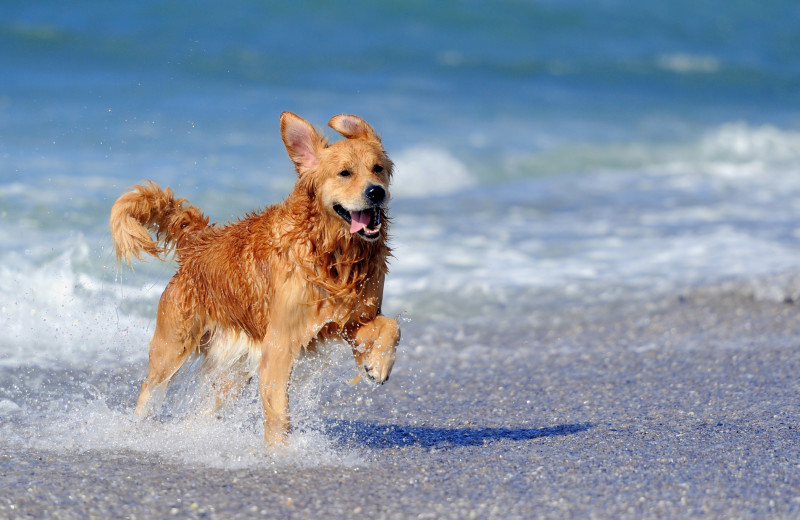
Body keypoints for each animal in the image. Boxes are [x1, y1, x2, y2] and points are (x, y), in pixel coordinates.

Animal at [109, 114, 400, 446]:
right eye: (344, 173)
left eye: (377, 168)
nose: (376, 192)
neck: (332, 253)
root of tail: (200, 243)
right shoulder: (280, 342)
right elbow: (278, 413)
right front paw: (280, 451)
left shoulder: (350, 320)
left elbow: (391, 325)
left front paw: (378, 365)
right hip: (172, 346)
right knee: (150, 391)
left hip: (234, 369)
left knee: (206, 408)